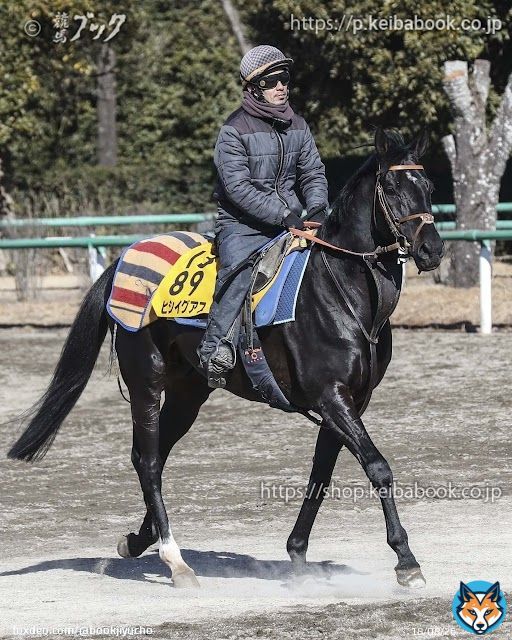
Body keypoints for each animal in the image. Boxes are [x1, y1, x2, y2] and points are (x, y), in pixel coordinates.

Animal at [8, 127, 443, 589]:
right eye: (392, 187)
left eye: (428, 187)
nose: (432, 249)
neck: (339, 291)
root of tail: (122, 263)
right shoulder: (332, 396)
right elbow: (377, 467)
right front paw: (406, 560)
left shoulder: (350, 402)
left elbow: (320, 476)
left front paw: (297, 553)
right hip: (147, 381)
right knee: (147, 460)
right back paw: (175, 559)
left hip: (188, 394)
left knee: (156, 455)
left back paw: (138, 540)